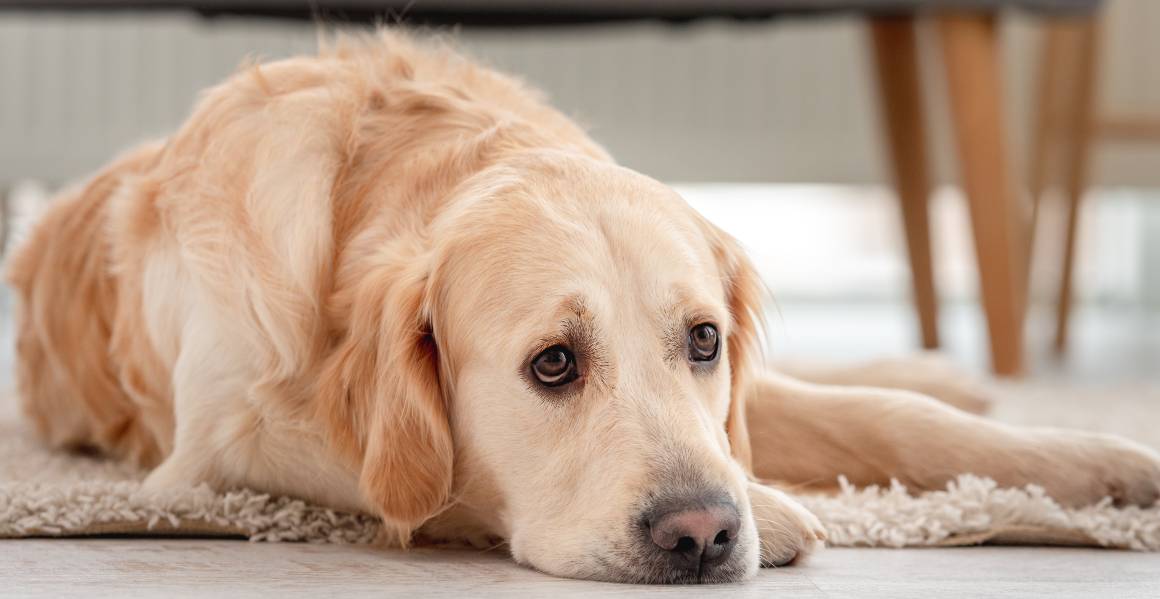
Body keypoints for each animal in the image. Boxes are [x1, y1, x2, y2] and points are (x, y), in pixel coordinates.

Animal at [11, 33, 1160, 585]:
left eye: (701, 339)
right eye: (552, 363)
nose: (705, 533)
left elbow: (892, 423)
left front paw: (1097, 463)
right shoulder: (210, 452)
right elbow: (417, 475)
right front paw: (782, 507)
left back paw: (937, 368)